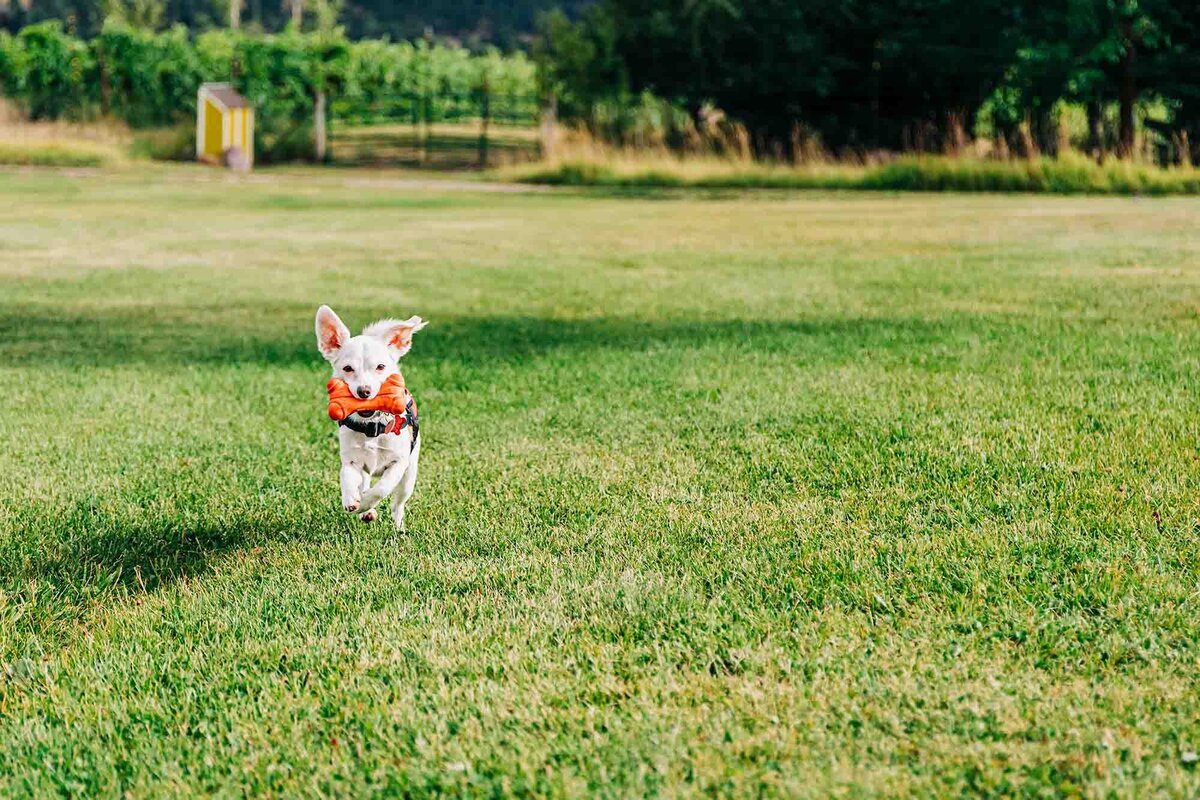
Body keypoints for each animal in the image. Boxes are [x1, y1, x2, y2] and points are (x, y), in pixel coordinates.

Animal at [316, 307, 429, 532]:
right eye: (347, 368)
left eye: (380, 367)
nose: (364, 391)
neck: (372, 427)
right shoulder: (351, 461)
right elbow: (346, 477)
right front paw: (352, 501)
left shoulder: (398, 462)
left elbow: (382, 488)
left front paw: (366, 502)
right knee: (365, 481)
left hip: (409, 476)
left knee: (397, 503)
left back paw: (399, 527)